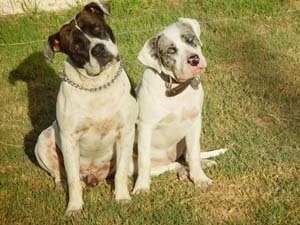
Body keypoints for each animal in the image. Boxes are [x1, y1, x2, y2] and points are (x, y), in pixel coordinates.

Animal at [34, 1, 137, 216]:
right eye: (76, 46)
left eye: (97, 29)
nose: (98, 49)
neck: (97, 86)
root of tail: (92, 177)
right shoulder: (69, 139)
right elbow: (73, 179)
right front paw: (74, 207)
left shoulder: (125, 132)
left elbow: (121, 172)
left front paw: (122, 198)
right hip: (43, 141)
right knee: (60, 174)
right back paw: (62, 185)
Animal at [132, 17, 226, 194]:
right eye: (171, 50)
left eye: (190, 40)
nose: (194, 59)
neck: (175, 86)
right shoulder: (145, 127)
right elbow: (143, 161)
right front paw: (141, 187)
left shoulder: (194, 122)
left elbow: (194, 154)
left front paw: (200, 178)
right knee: (170, 165)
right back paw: (181, 171)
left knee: (186, 158)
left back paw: (202, 164)